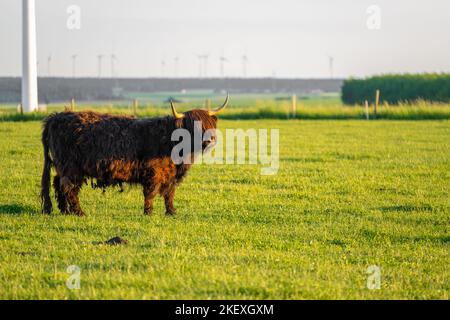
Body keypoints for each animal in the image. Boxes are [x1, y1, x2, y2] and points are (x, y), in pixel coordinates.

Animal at [40, 94, 229, 216]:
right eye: (194, 126)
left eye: (208, 124)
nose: (209, 139)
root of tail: (56, 117)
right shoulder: (153, 172)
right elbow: (151, 193)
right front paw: (148, 213)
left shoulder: (171, 175)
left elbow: (169, 193)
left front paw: (171, 212)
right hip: (71, 167)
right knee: (69, 187)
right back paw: (78, 212)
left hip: (63, 166)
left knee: (57, 183)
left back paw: (64, 210)